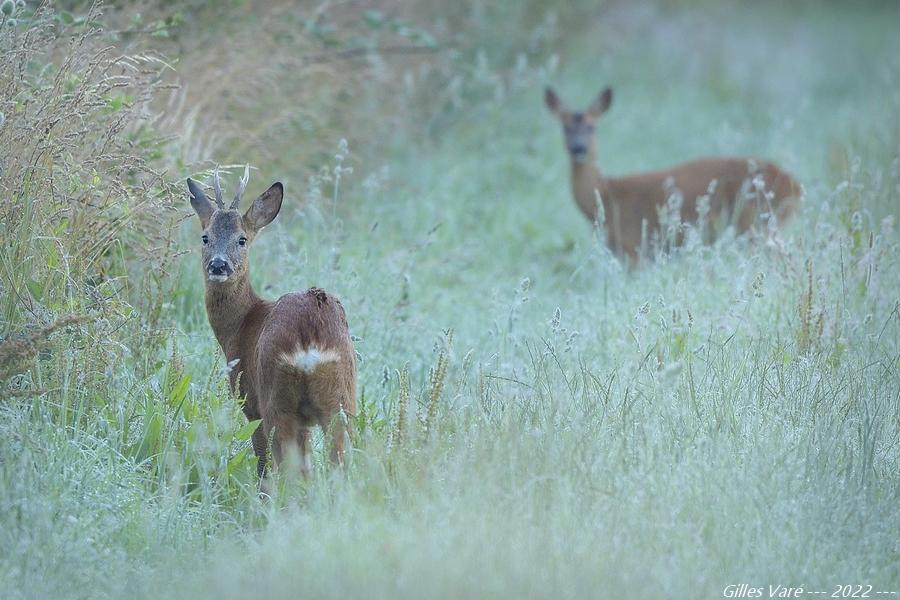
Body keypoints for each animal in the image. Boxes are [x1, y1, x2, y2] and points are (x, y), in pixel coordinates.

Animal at [186, 168, 356, 478]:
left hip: (276, 397)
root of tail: (310, 336)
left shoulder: (249, 400)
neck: (241, 324)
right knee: (339, 464)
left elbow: (264, 465)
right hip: (342, 398)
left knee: (287, 469)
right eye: (205, 237)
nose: (218, 265)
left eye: (242, 239)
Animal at [540, 87, 800, 262]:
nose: (578, 148)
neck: (606, 194)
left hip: (754, 222)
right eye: (565, 127)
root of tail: (795, 186)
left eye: (592, 127)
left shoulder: (633, 247)